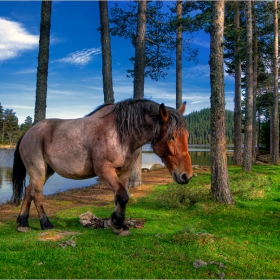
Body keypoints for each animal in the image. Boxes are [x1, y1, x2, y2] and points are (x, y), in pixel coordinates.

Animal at [12, 99, 194, 235]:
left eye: (187, 136)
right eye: (172, 137)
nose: (186, 175)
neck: (120, 135)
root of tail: (28, 132)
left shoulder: (124, 172)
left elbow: (119, 196)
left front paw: (118, 225)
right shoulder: (104, 170)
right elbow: (122, 196)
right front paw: (117, 223)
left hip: (46, 171)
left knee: (28, 191)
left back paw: (23, 223)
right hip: (39, 170)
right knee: (36, 194)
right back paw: (45, 223)